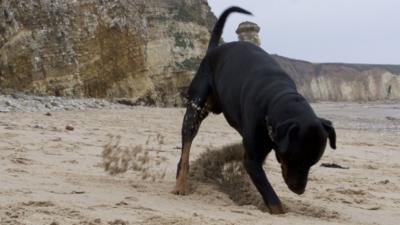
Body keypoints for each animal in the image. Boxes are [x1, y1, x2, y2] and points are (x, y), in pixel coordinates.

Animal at [171, 6, 334, 214]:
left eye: (312, 163)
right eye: (293, 158)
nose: (299, 190)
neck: (275, 99)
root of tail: (213, 50)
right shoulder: (252, 160)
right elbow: (272, 198)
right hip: (196, 108)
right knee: (186, 147)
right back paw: (181, 185)